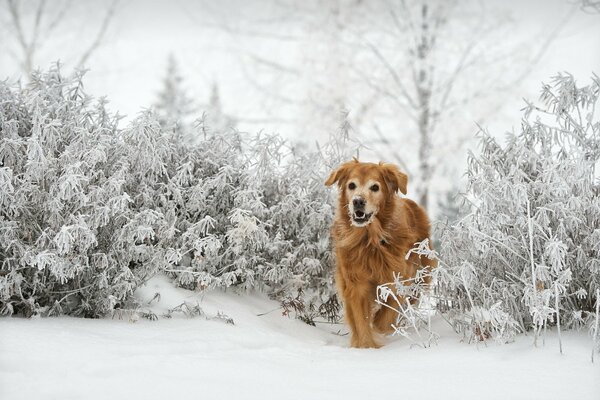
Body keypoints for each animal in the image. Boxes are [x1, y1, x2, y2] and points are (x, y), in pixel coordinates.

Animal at [326, 159, 434, 346]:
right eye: (351, 185)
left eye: (375, 187)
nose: (358, 201)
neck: (371, 240)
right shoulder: (356, 282)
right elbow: (361, 320)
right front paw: (366, 346)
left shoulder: (399, 276)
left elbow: (387, 313)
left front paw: (380, 326)